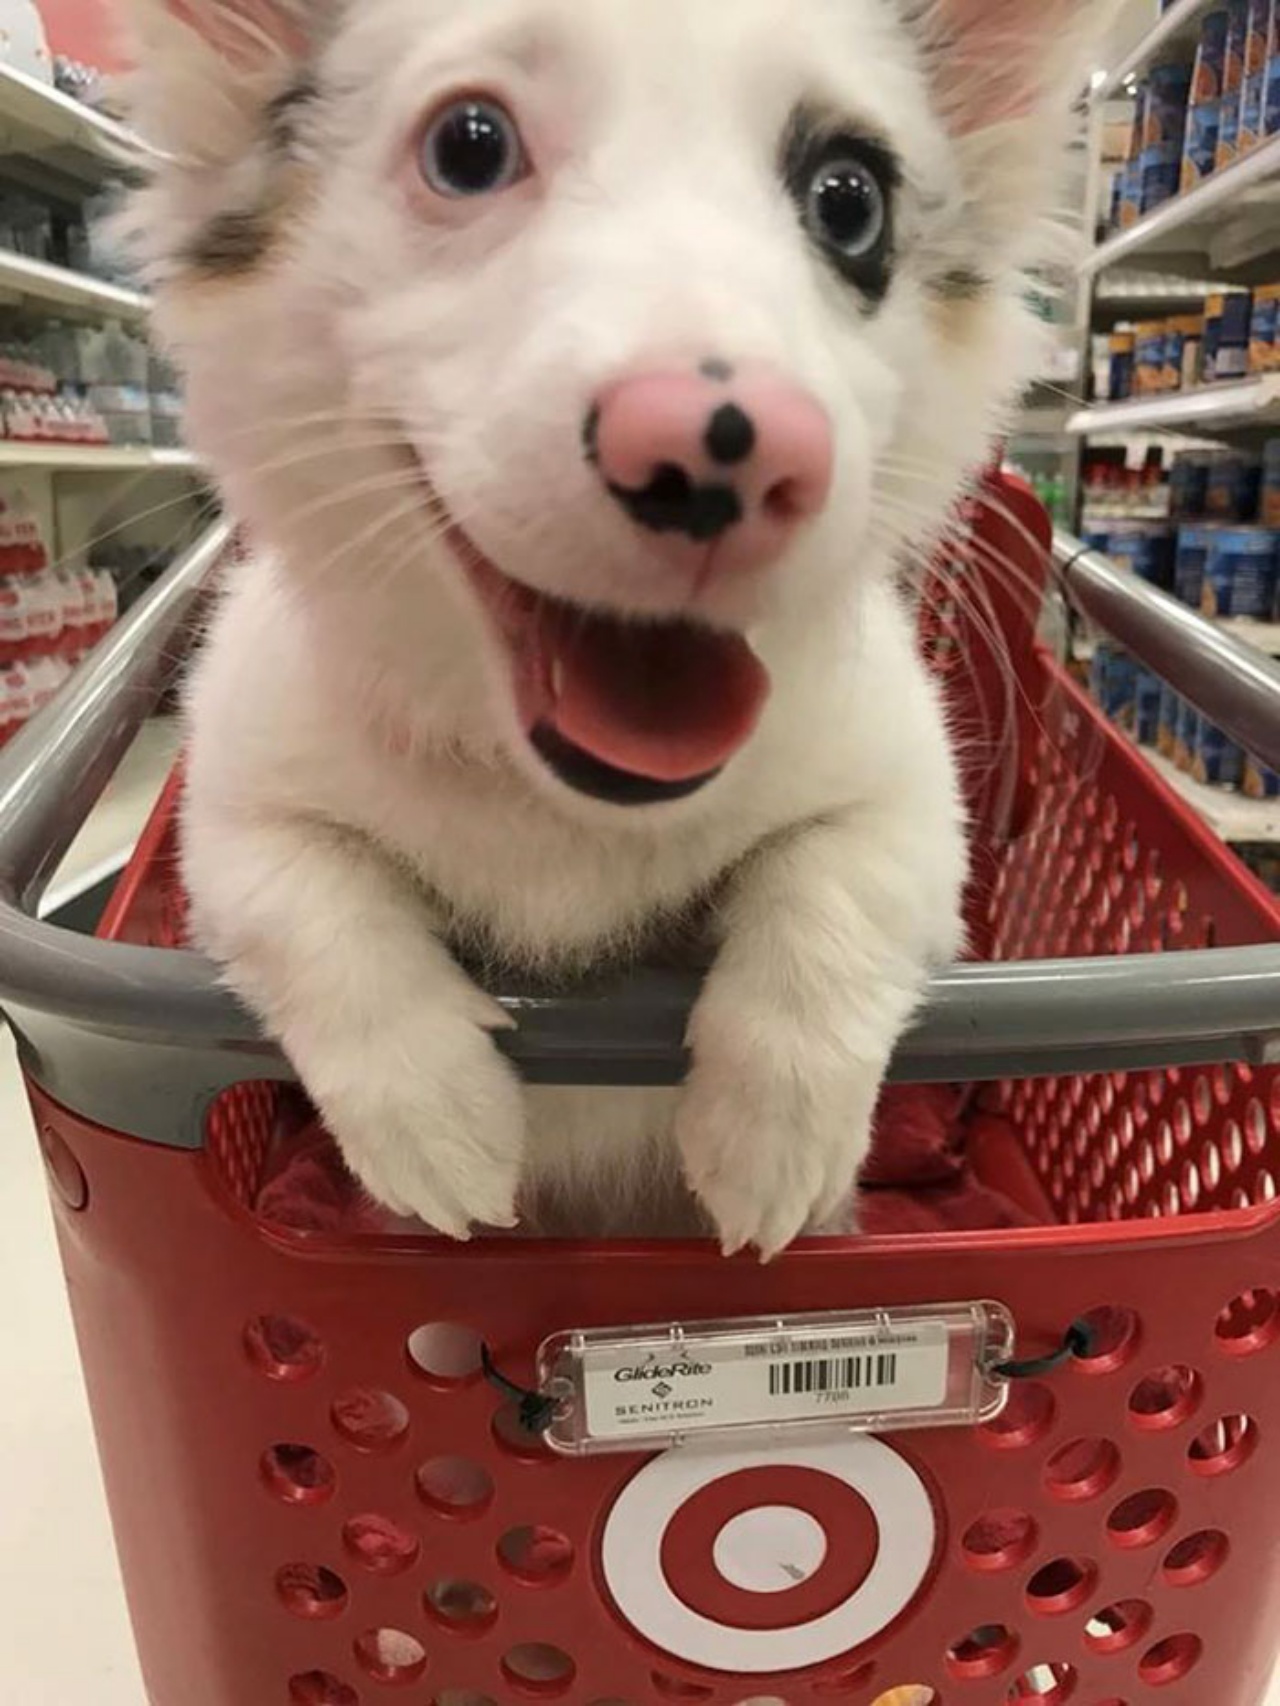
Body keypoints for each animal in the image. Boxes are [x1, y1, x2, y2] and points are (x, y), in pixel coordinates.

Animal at [125, 0, 1119, 1255]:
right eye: (468, 146)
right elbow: (304, 900)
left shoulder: (911, 795)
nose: (722, 449)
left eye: (849, 200)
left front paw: (773, 1127)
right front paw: (433, 1113)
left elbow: (836, 877)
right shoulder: (231, 803)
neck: (559, 809)